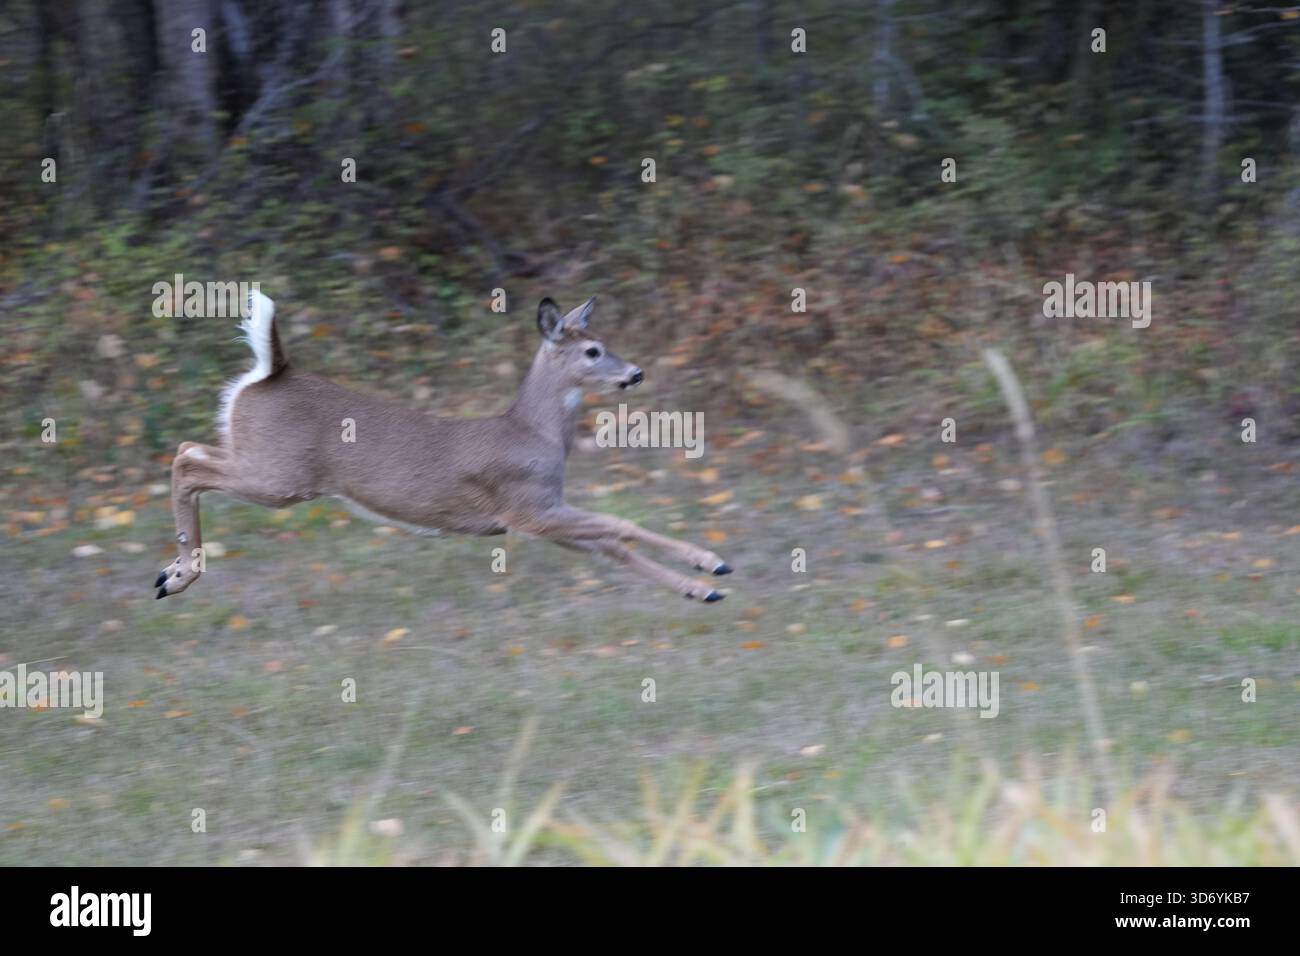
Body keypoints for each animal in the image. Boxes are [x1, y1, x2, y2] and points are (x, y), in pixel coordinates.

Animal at [155, 291, 733, 604]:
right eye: (592, 350)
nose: (635, 372)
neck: (534, 433)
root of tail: (270, 372)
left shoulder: (541, 516)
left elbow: (614, 545)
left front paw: (701, 590)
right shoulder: (526, 507)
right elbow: (622, 526)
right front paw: (711, 563)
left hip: (264, 465)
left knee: (188, 448)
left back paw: (170, 573)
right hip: (280, 476)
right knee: (187, 461)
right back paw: (179, 575)